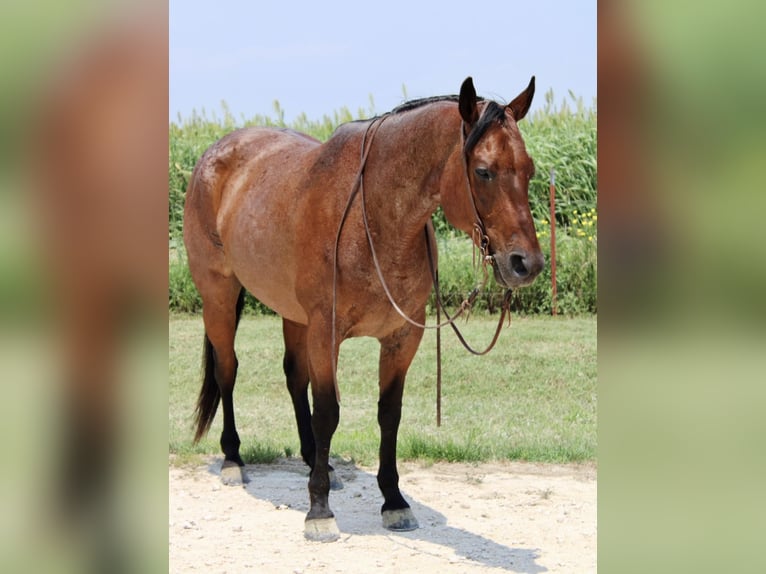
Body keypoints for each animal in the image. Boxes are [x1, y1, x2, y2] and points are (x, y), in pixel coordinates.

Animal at [184, 77, 544, 544]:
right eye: (483, 171)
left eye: (529, 169)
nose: (526, 264)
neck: (372, 215)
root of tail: (215, 154)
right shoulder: (326, 332)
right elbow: (328, 413)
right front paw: (319, 511)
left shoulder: (402, 336)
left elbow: (388, 413)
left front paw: (393, 500)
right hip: (219, 297)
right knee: (227, 370)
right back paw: (233, 460)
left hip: (293, 315)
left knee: (294, 377)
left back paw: (315, 460)